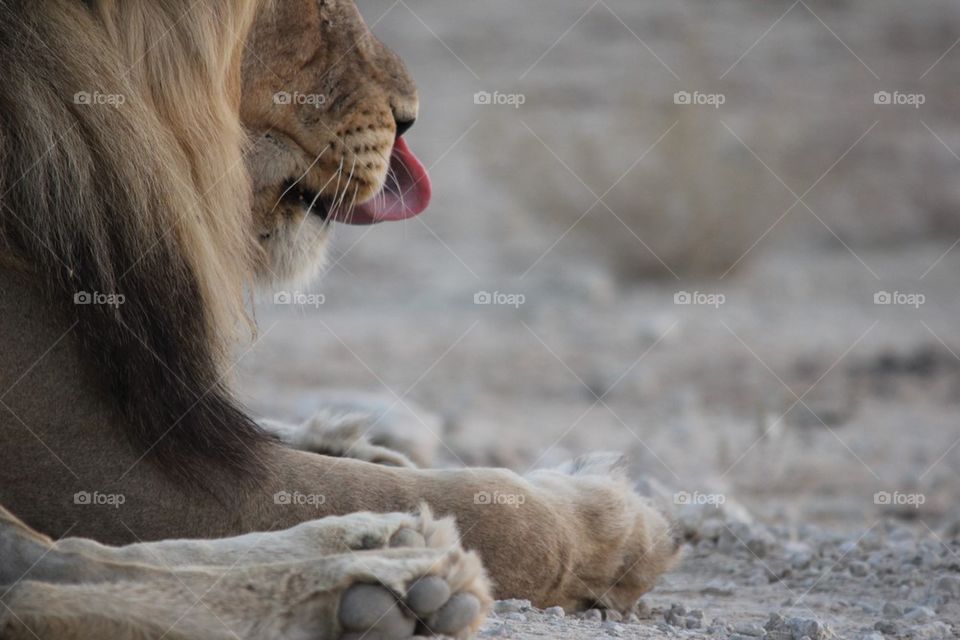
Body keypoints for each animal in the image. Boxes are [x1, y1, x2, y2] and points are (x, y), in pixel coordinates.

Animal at [0, 1, 680, 638]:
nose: (409, 117)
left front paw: (364, 450)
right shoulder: (95, 460)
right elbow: (489, 507)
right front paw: (612, 526)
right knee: (43, 568)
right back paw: (381, 585)